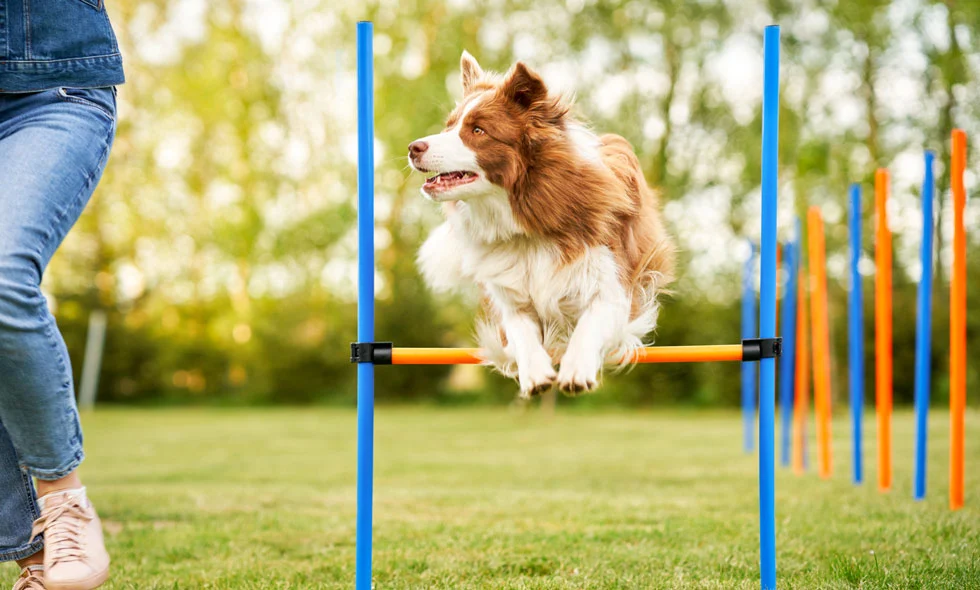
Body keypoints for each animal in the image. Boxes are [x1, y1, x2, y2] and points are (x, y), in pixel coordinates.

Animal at [406, 52, 672, 398]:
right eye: (449, 127)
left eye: (477, 130)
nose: (413, 147)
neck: (525, 224)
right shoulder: (509, 296)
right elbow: (520, 332)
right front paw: (535, 373)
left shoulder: (614, 286)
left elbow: (591, 322)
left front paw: (576, 369)